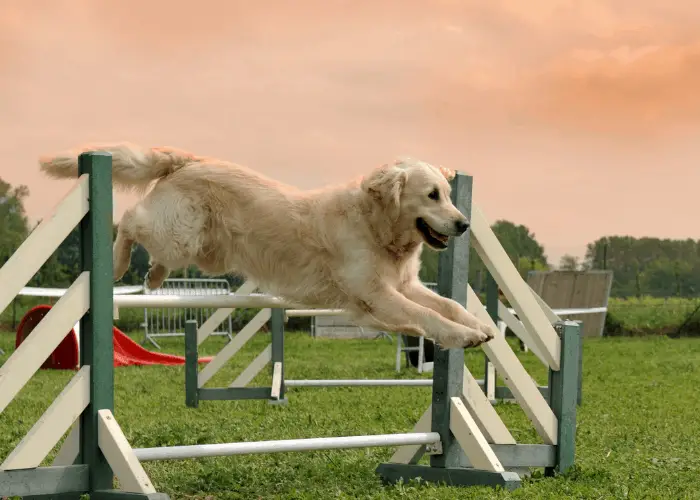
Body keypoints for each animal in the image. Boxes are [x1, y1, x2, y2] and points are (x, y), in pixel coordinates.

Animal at [41, 143, 494, 350]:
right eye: (432, 195)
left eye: (450, 194)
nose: (464, 223)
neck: (376, 226)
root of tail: (189, 160)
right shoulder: (376, 292)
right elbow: (426, 315)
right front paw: (463, 336)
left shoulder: (403, 286)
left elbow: (446, 304)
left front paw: (481, 325)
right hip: (179, 234)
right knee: (131, 220)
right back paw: (119, 265)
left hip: (202, 250)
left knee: (150, 241)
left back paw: (153, 276)